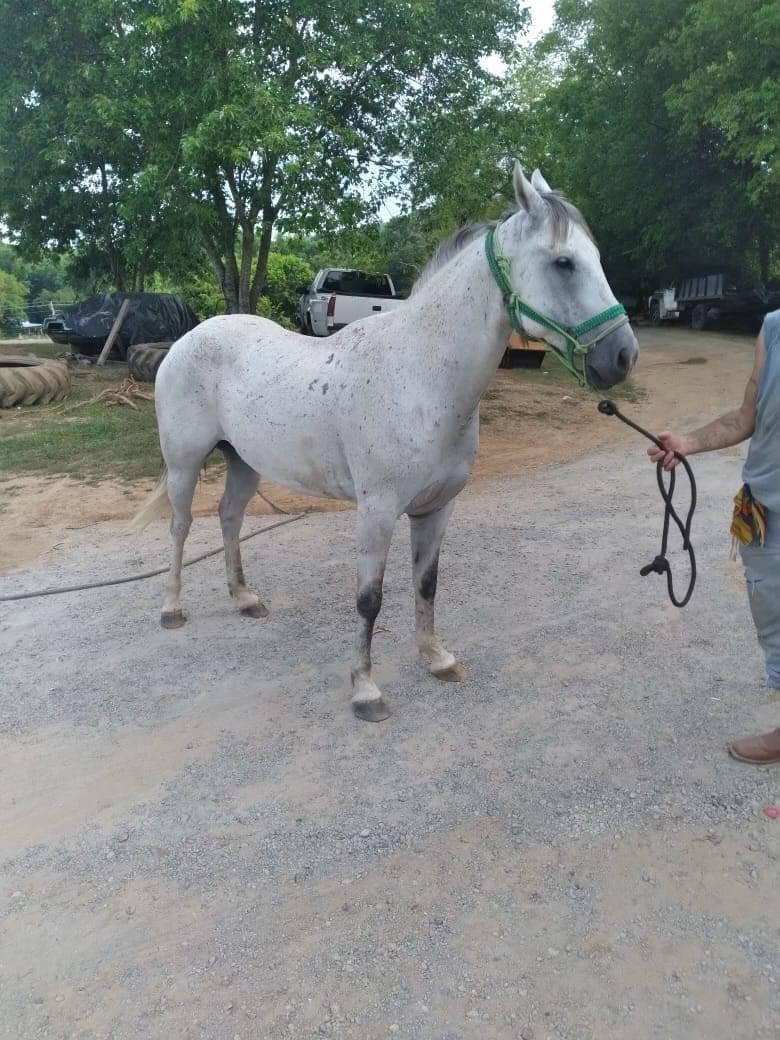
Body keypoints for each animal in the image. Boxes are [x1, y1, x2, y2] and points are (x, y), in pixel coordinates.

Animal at [136, 168, 640, 723]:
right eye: (564, 262)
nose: (622, 356)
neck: (419, 375)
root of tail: (188, 339)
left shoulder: (436, 508)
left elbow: (426, 583)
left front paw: (437, 658)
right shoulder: (376, 511)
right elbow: (369, 600)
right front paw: (365, 690)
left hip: (244, 462)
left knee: (229, 517)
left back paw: (244, 599)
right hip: (184, 464)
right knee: (181, 527)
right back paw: (171, 609)